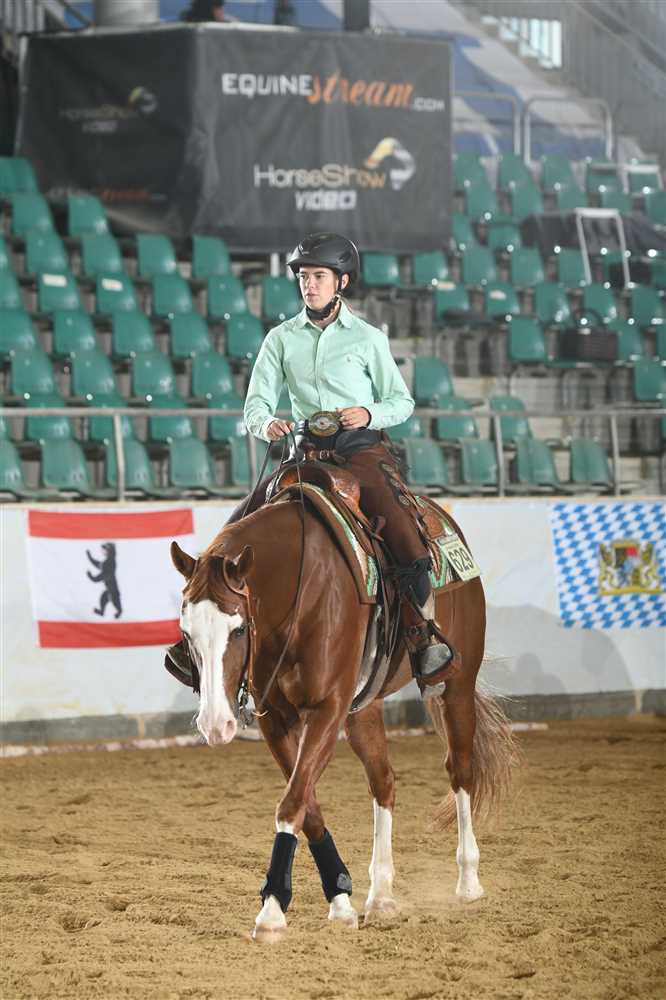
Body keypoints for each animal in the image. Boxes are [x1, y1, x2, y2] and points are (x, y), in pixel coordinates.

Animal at [170, 495, 517, 941]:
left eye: (239, 629)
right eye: (187, 632)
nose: (215, 725)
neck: (298, 591)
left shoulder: (328, 708)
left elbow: (292, 803)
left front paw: (272, 910)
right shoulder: (276, 720)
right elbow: (307, 803)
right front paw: (339, 897)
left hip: (457, 683)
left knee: (460, 769)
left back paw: (468, 881)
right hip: (363, 709)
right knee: (383, 781)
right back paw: (381, 895)